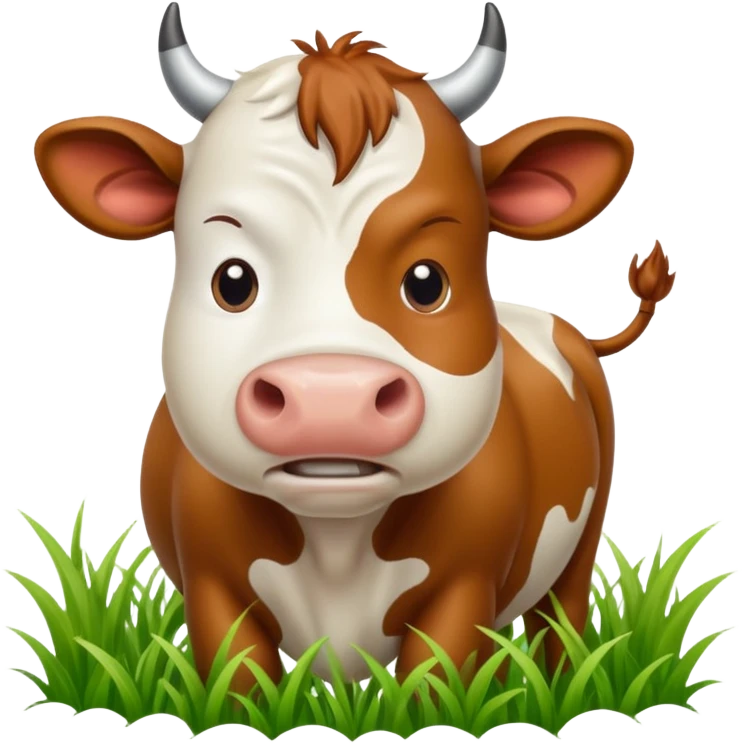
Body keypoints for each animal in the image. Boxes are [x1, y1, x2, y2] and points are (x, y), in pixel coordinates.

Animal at [33, 1, 676, 697]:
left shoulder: (465, 587)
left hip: (580, 544)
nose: (330, 396)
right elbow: (240, 679)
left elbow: (435, 681)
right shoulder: (211, 587)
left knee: (560, 621)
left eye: (427, 281)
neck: (336, 542)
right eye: (232, 280)